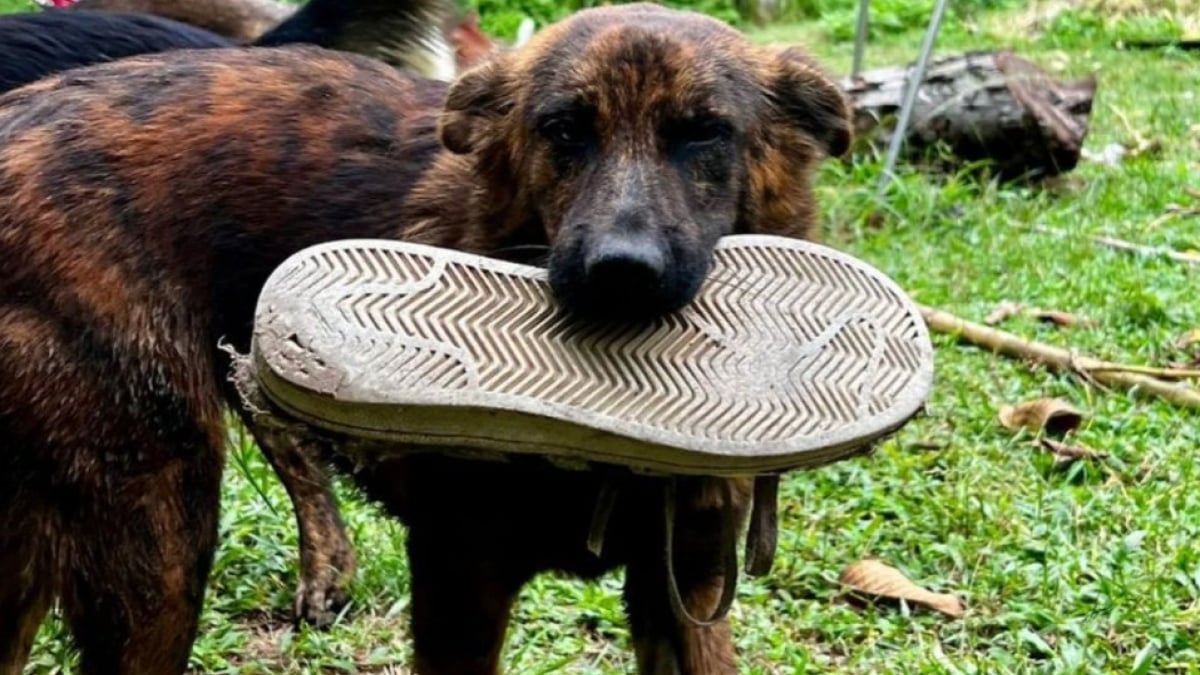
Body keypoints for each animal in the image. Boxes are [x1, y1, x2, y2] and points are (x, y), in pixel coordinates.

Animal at [0, 5, 849, 672]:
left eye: (705, 135)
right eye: (563, 130)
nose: (621, 274)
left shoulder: (686, 588)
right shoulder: (457, 579)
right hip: (160, 540)